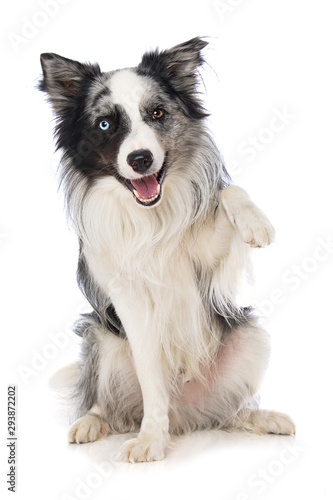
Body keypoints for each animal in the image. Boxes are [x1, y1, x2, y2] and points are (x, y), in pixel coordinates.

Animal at [39, 38, 294, 460]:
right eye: (105, 124)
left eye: (156, 113)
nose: (141, 159)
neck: (150, 216)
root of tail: (186, 416)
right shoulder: (128, 301)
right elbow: (150, 378)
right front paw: (150, 440)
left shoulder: (204, 257)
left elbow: (229, 192)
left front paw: (256, 223)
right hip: (101, 337)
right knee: (104, 402)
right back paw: (92, 423)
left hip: (251, 336)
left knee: (230, 413)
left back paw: (265, 418)